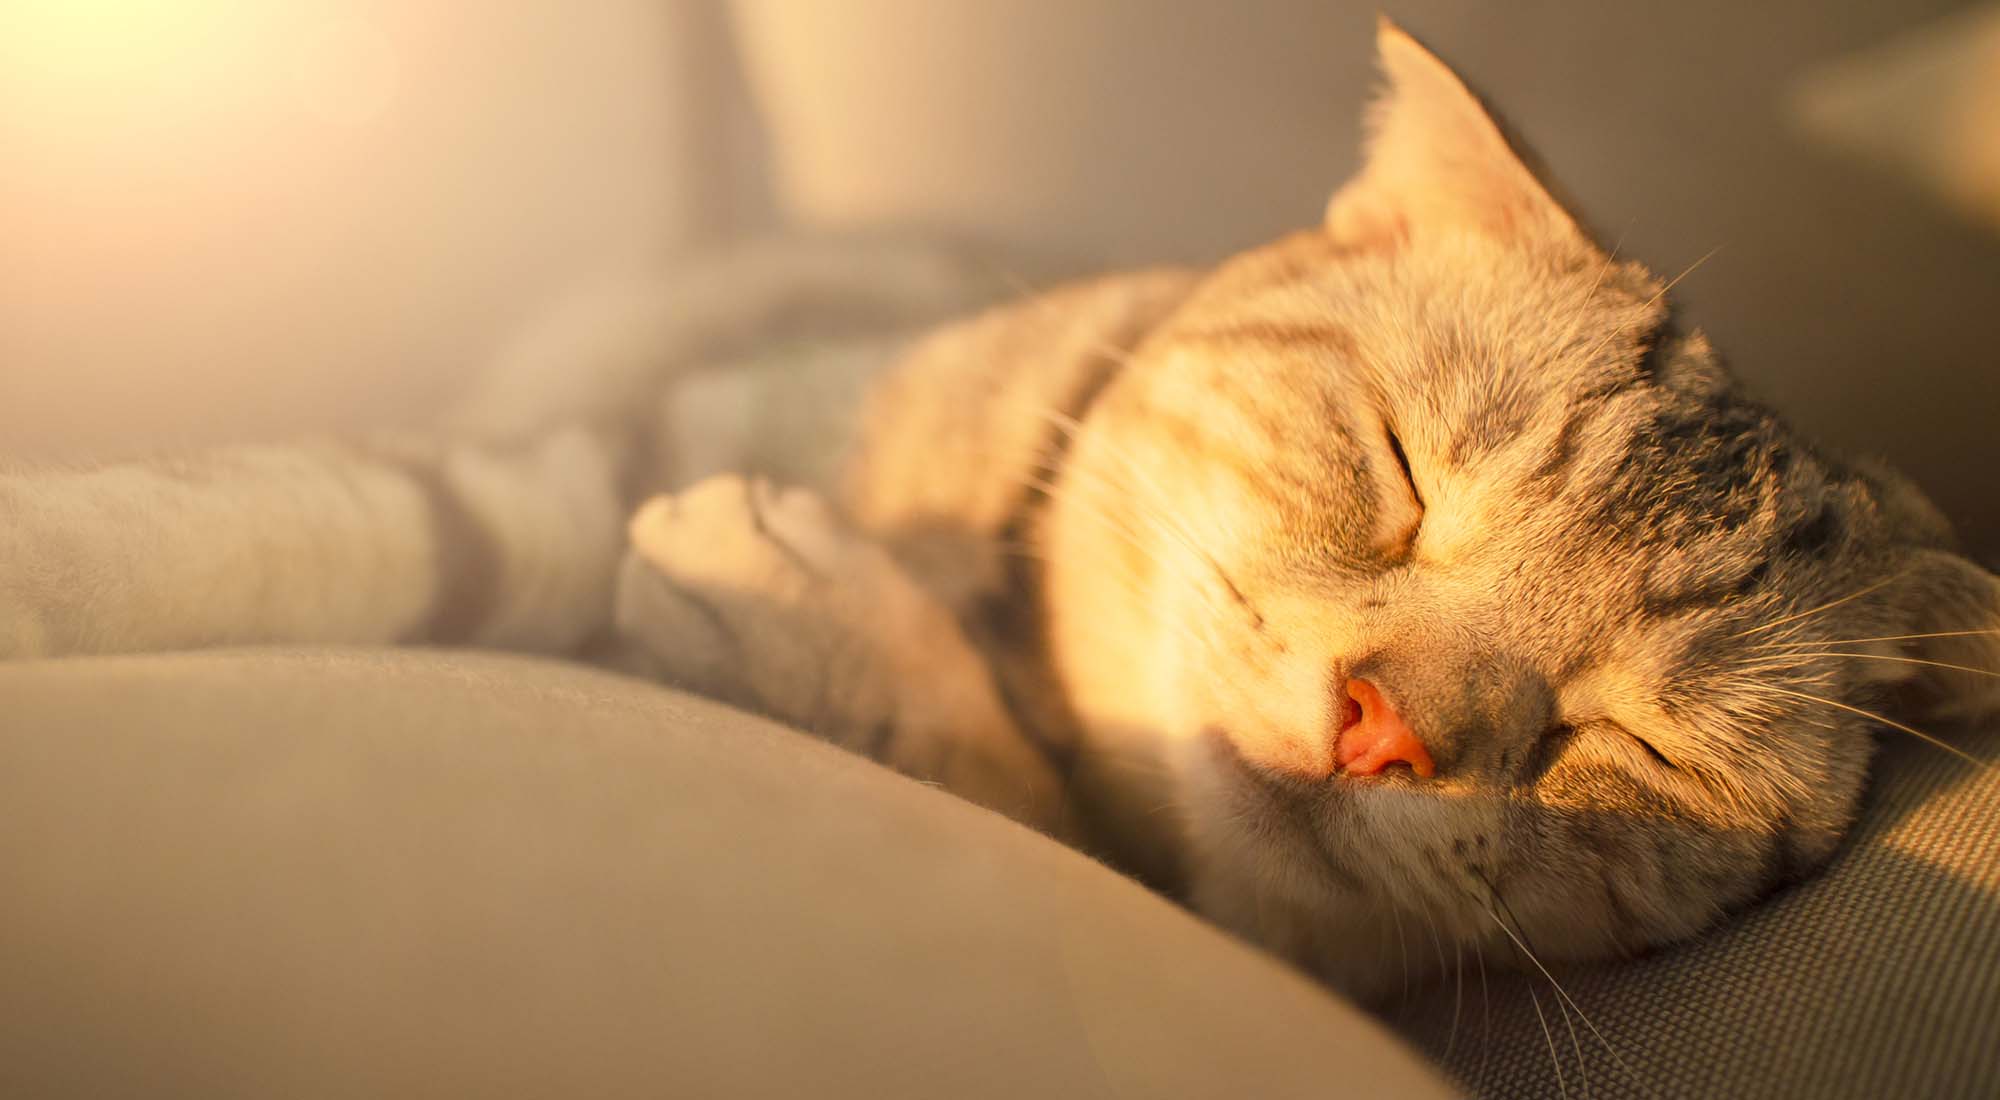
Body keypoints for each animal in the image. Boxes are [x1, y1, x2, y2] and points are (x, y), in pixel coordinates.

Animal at [3, 23, 2000, 1008]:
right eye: (1401, 471)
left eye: (1634, 748)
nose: (1379, 727)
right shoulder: (588, 442)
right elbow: (302, 518)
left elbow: (1003, 779)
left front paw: (796, 611)